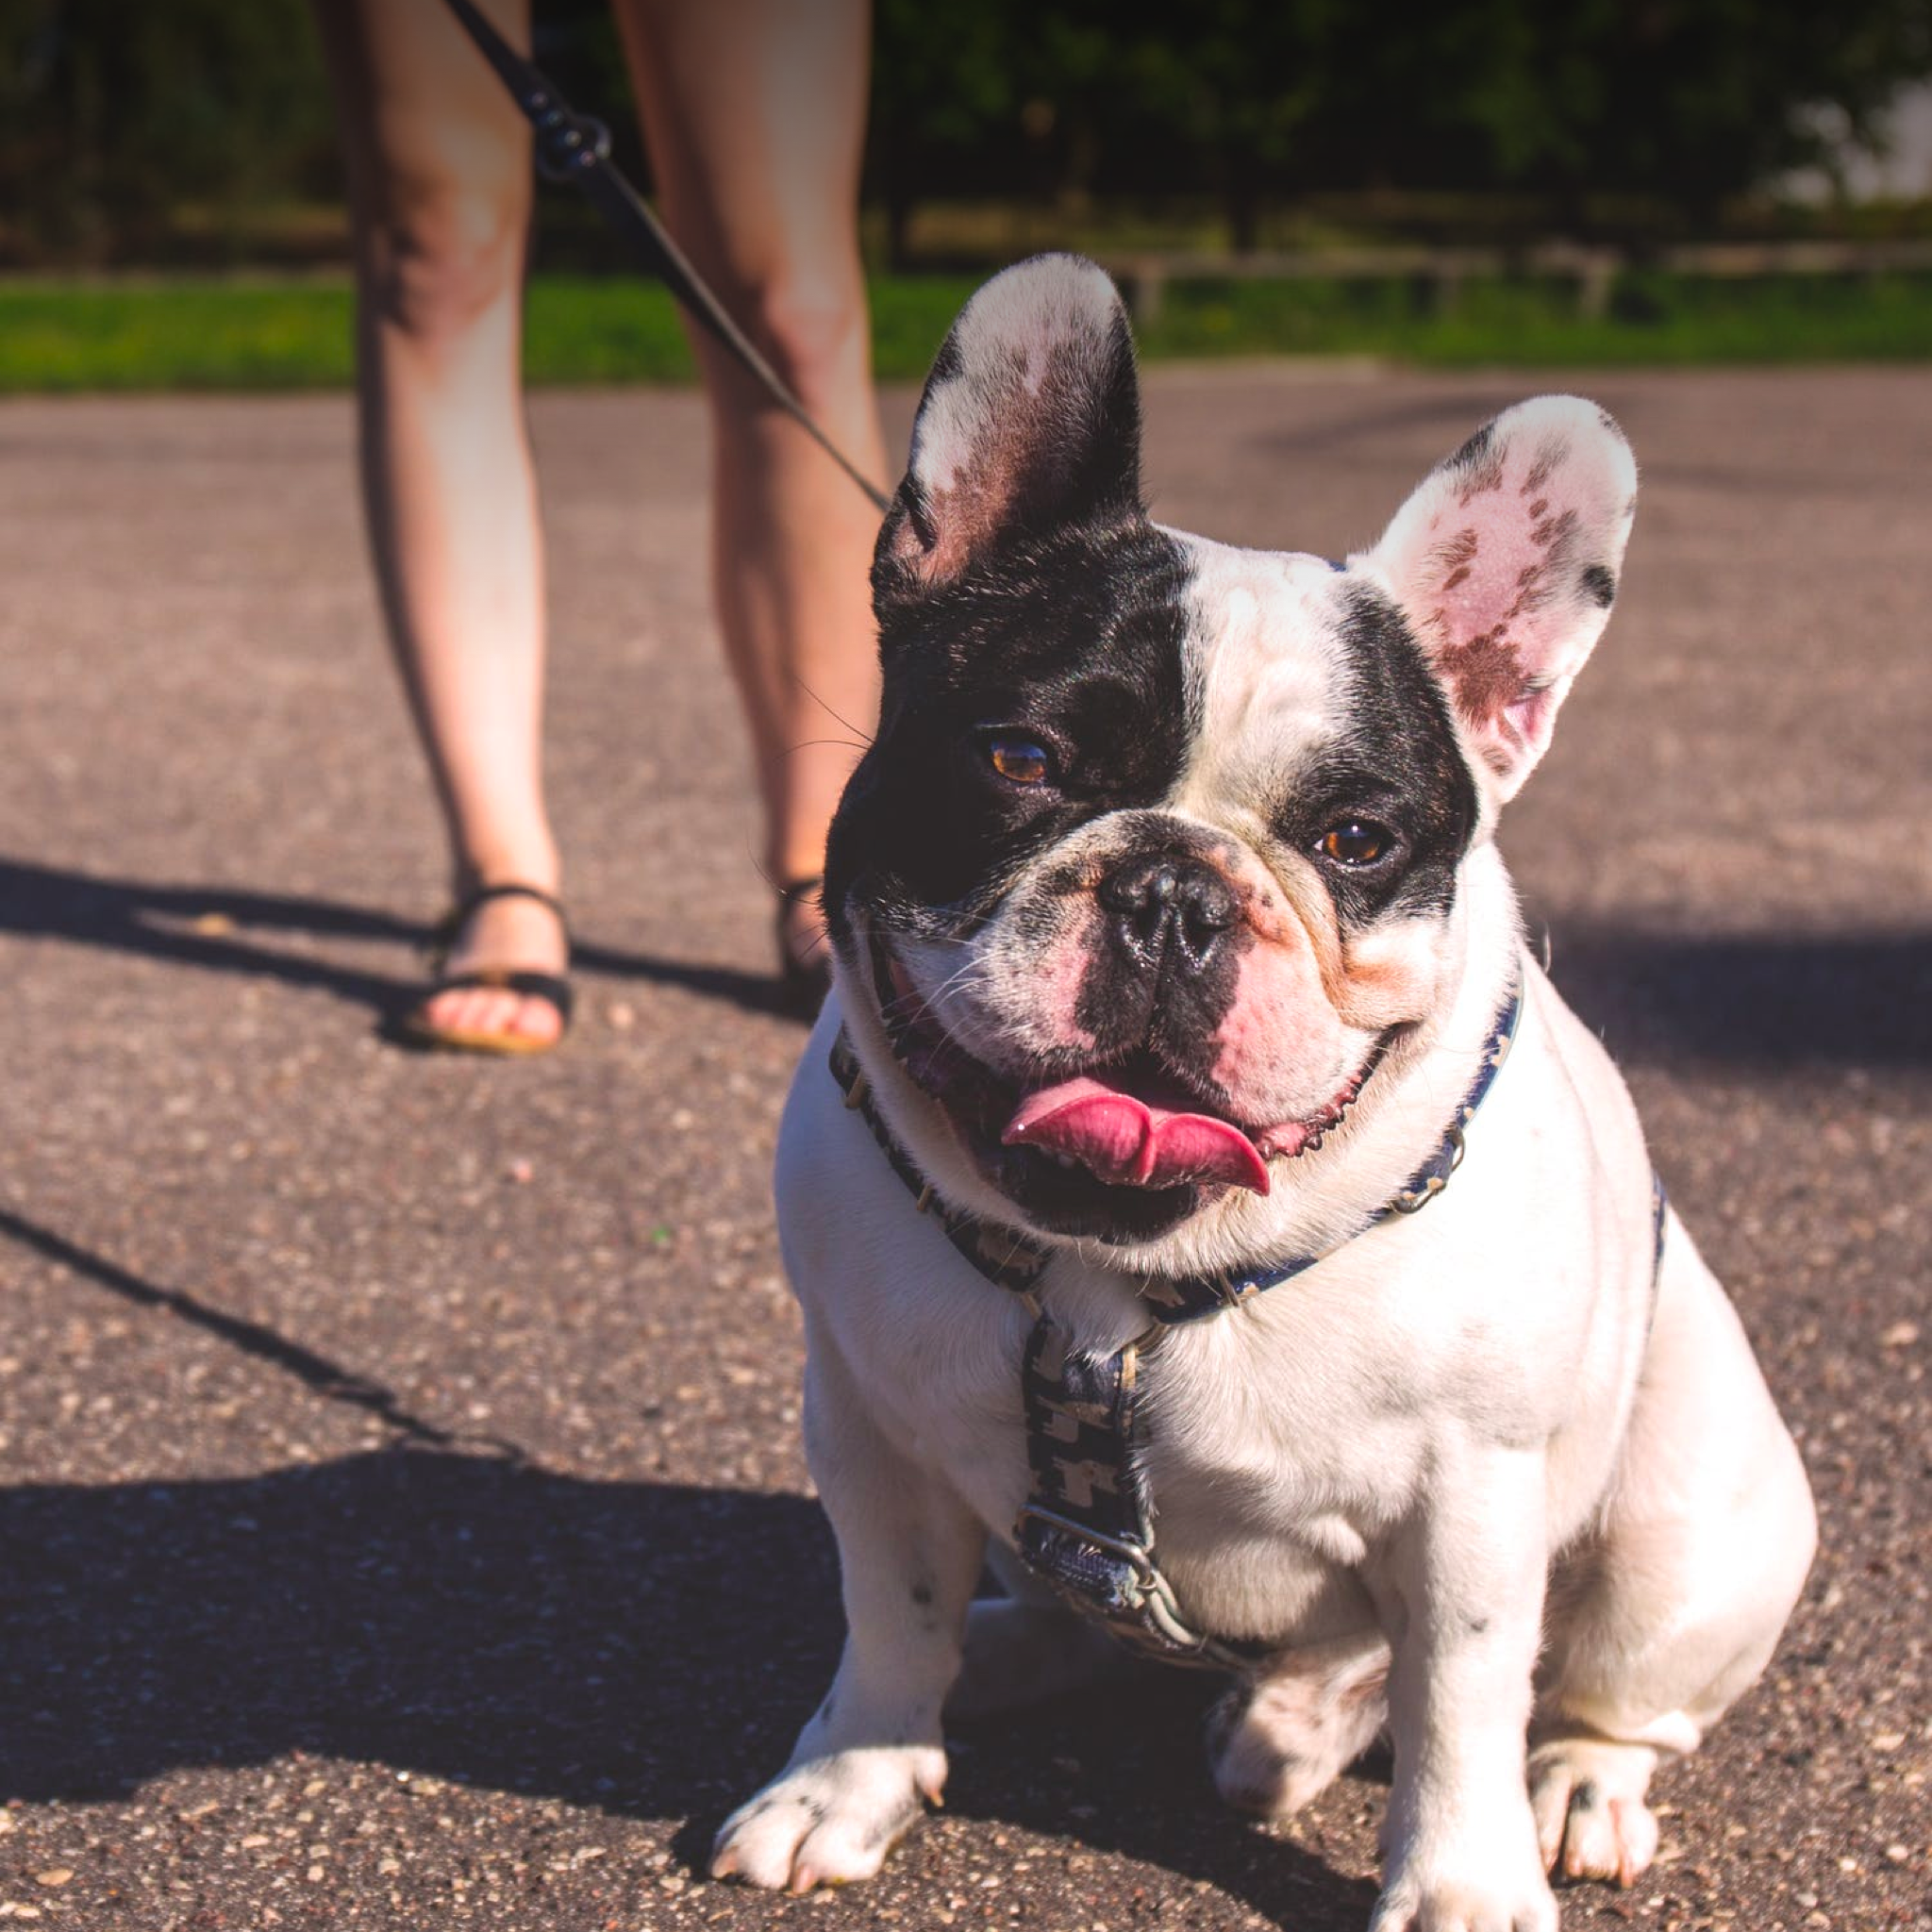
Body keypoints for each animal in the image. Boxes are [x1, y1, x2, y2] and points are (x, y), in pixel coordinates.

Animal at [718, 260, 1816, 1932]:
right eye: (1020, 757)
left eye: (1357, 839)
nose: (1174, 890)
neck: (1119, 1274)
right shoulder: (870, 1431)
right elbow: (890, 1618)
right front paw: (850, 1779)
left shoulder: (1470, 1505)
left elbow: (1461, 1699)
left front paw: (1462, 1887)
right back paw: (1037, 1650)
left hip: (1683, 1536)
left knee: (1596, 1694)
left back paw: (1559, 1781)